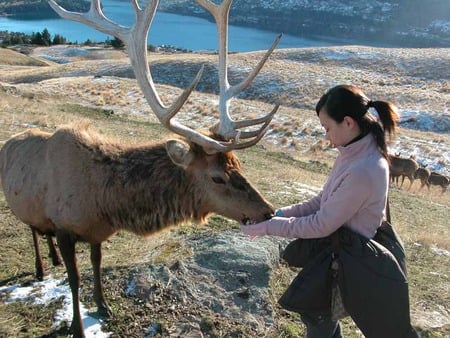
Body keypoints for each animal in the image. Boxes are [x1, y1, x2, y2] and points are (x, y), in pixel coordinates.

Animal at [0, 1, 282, 336]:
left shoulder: (96, 233)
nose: (268, 210)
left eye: (237, 164)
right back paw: (42, 268)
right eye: (217, 177)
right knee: (32, 230)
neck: (104, 202)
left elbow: (96, 263)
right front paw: (77, 325)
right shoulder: (65, 227)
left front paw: (103, 305)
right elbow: (75, 279)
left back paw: (52, 260)